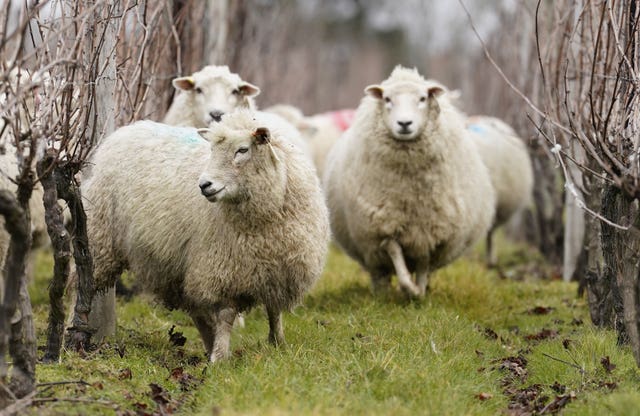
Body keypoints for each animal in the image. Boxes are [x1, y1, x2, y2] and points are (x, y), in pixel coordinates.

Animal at [82, 110, 330, 362]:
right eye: (212, 150)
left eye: (242, 150)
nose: (204, 185)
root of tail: (125, 131)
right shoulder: (221, 268)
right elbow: (227, 315)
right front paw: (220, 357)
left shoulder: (279, 269)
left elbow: (274, 310)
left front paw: (278, 344)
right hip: (101, 238)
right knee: (84, 283)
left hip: (177, 265)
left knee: (196, 311)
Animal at [323, 66, 495, 297]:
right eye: (387, 99)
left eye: (422, 98)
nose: (404, 123)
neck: (410, 193)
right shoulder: (383, 227)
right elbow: (395, 254)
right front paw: (408, 289)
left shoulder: (431, 232)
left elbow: (424, 264)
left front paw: (419, 292)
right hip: (368, 247)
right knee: (379, 271)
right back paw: (382, 293)